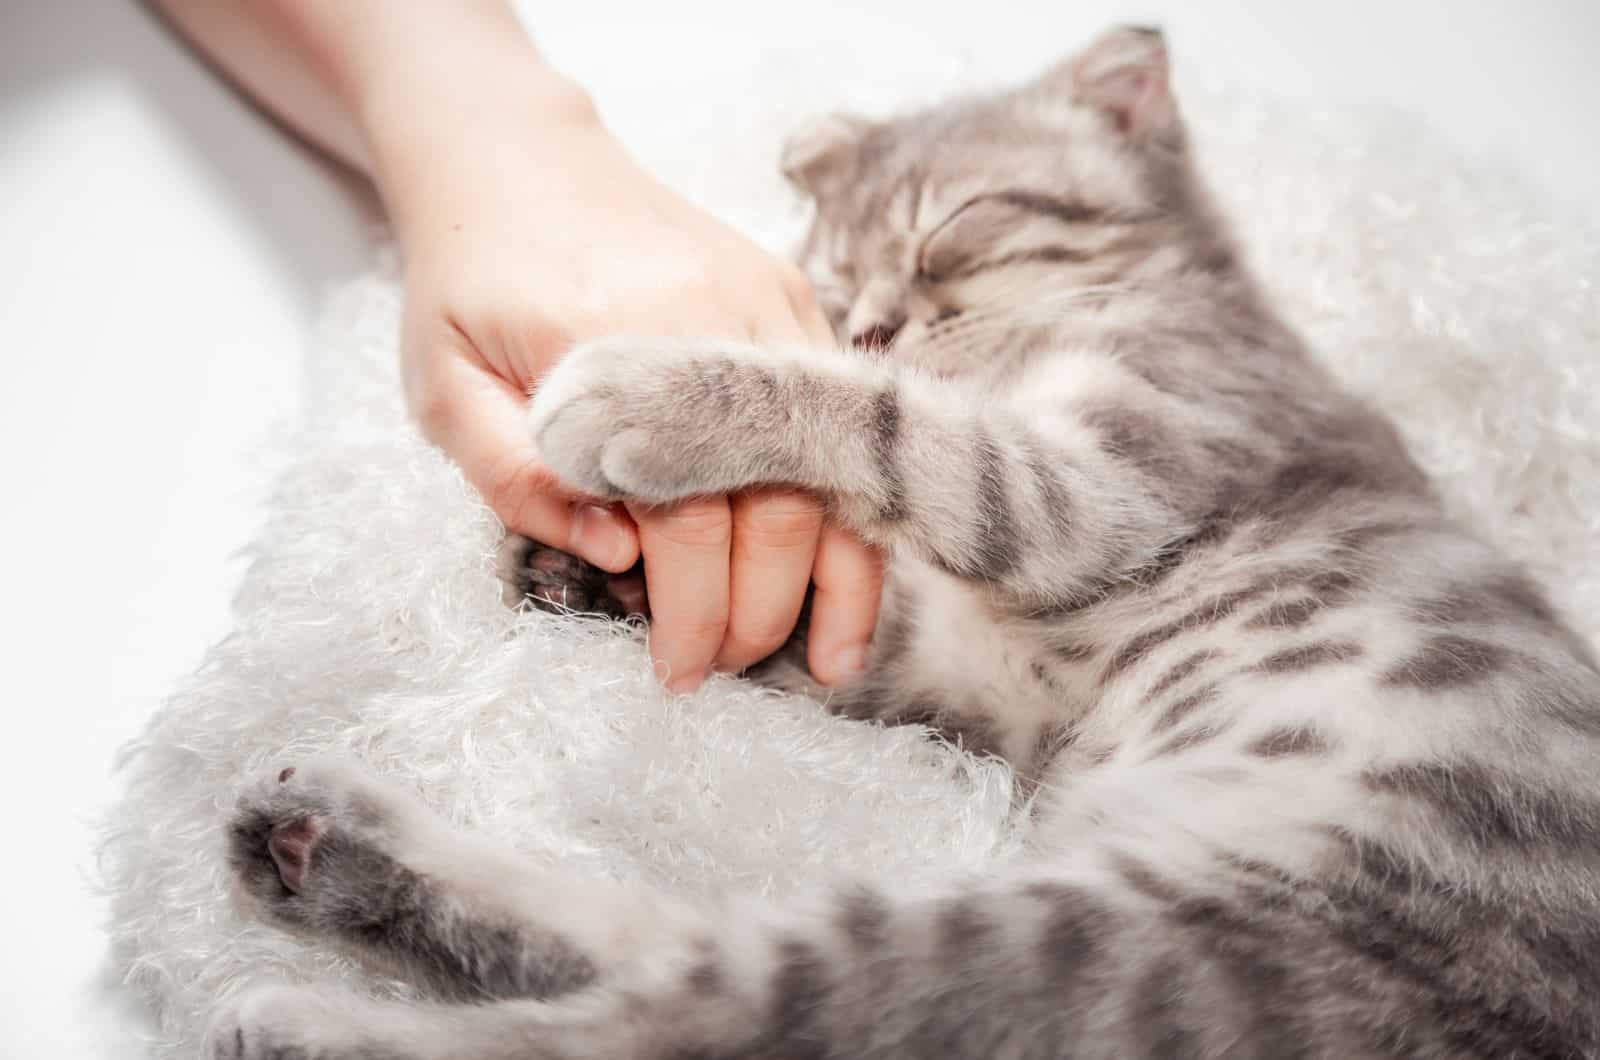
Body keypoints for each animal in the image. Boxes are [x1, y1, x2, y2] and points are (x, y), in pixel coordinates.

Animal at [206, 27, 1600, 1060]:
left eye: (950, 229)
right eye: (831, 274)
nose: (871, 320)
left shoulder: (1101, 486)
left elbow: (895, 426)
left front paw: (648, 394)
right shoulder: (994, 667)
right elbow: (853, 614)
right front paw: (595, 563)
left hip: (1125, 953)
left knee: (707, 1017)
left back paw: (309, 1009)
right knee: (678, 954)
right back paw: (321, 844)